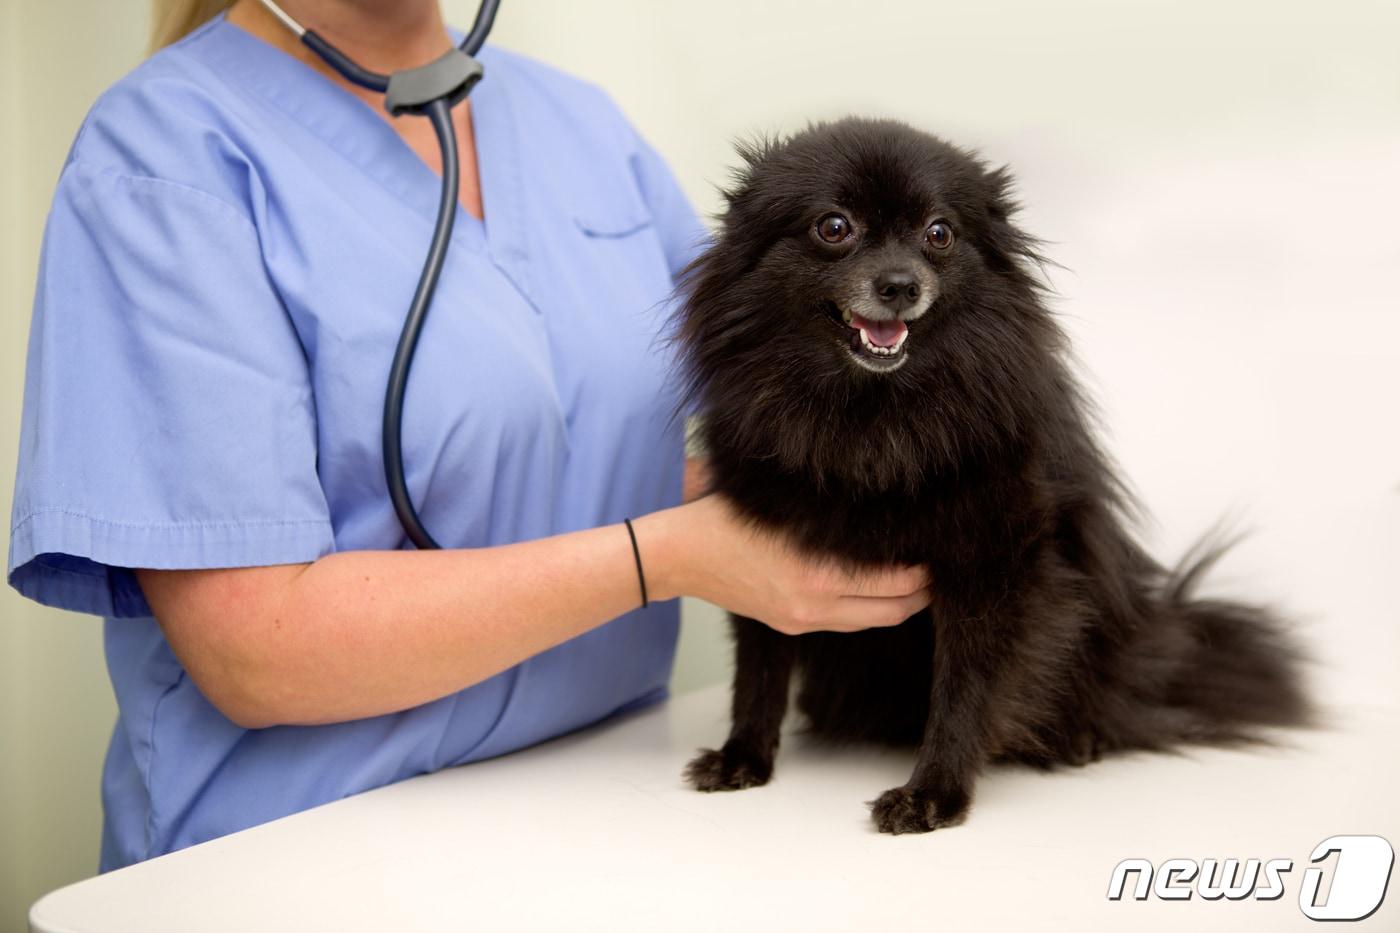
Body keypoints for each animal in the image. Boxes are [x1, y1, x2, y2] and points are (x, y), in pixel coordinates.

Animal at [677, 112, 1310, 829]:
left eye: (939, 234)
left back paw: (1081, 738)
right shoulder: (764, 559)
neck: (872, 416)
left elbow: (966, 688)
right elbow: (757, 672)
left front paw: (934, 791)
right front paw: (744, 755)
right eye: (833, 227)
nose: (900, 284)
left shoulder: (992, 565)